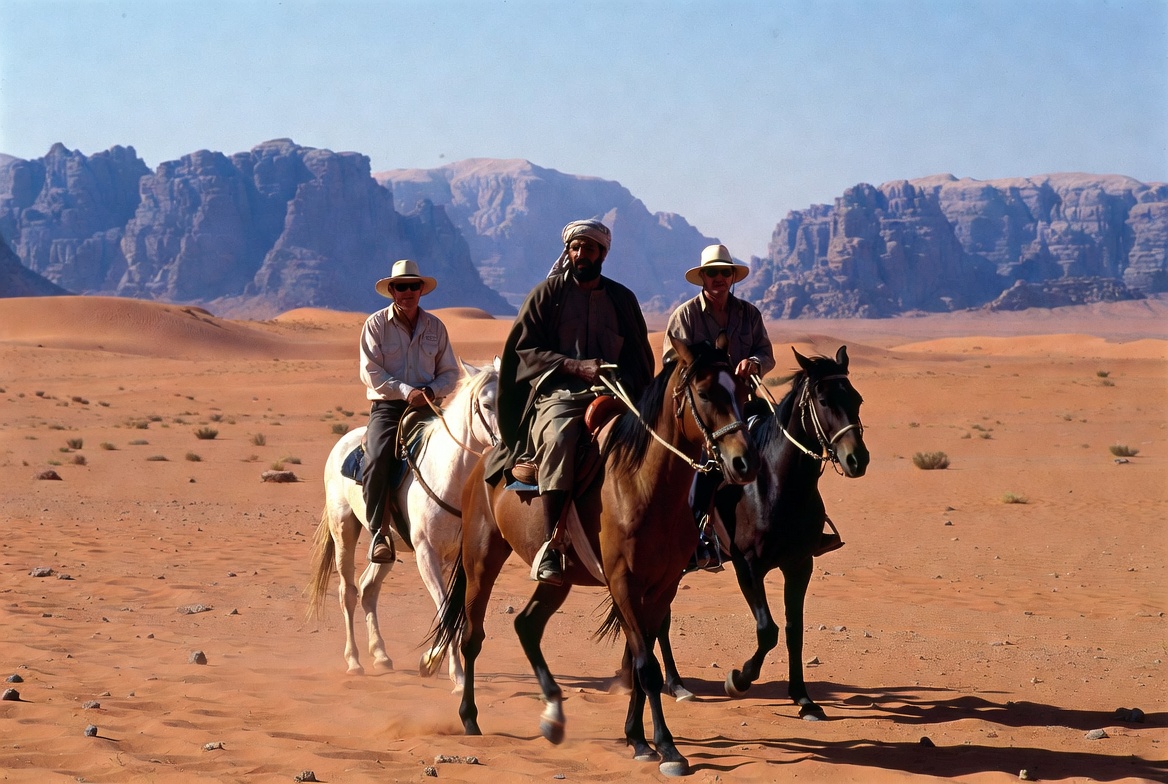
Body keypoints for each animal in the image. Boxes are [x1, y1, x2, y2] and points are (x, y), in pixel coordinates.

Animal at [306, 359, 499, 685]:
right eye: (486, 404)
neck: (450, 476)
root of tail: (342, 443)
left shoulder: (458, 558)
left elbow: (453, 612)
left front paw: (430, 661)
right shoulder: (426, 553)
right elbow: (446, 612)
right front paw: (458, 678)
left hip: (386, 545)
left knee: (369, 588)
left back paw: (381, 655)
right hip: (344, 528)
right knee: (348, 592)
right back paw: (354, 661)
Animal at [432, 339, 760, 777]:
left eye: (741, 392)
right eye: (705, 394)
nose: (745, 463)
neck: (643, 485)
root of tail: (485, 459)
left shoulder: (662, 587)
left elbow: (639, 663)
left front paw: (637, 739)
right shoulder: (623, 583)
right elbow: (646, 668)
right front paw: (667, 748)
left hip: (559, 579)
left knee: (527, 625)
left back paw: (553, 714)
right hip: (481, 560)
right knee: (471, 637)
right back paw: (470, 717)